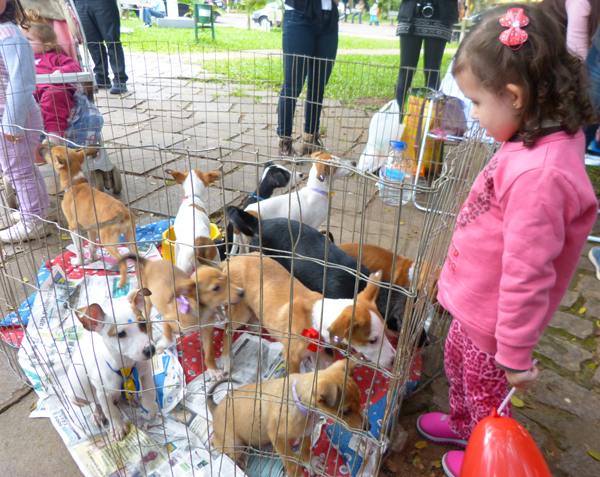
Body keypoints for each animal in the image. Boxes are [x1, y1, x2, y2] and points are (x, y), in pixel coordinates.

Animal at [41, 145, 136, 286]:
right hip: (130, 238)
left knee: (122, 262)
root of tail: (121, 211)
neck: (76, 182)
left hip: (108, 241)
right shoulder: (92, 229)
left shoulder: (73, 228)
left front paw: (79, 263)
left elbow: (79, 248)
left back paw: (122, 282)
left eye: (51, 152)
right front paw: (94, 258)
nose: (41, 148)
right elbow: (92, 246)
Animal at [206, 358, 368, 474]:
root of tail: (215, 409)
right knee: (218, 446)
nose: (368, 426)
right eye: (346, 411)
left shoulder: (306, 432)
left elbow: (305, 449)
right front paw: (297, 472)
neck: (300, 402)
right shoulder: (278, 437)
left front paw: (311, 462)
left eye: (361, 399)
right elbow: (290, 462)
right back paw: (238, 459)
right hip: (234, 444)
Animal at [220, 255, 394, 374]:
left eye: (386, 331)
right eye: (372, 340)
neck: (314, 320)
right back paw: (226, 360)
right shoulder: (290, 357)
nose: (393, 360)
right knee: (227, 329)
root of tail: (232, 259)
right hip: (239, 311)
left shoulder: (317, 354)